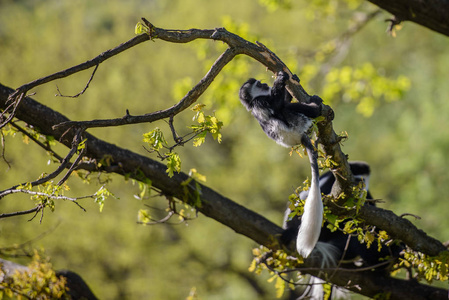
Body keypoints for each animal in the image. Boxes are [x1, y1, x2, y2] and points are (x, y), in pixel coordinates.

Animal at [240, 71, 324, 258]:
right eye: (258, 84)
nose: (265, 83)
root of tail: (299, 137)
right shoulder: (261, 103)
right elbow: (277, 105)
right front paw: (280, 79)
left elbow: (283, 101)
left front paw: (293, 78)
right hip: (295, 123)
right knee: (288, 109)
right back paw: (316, 106)